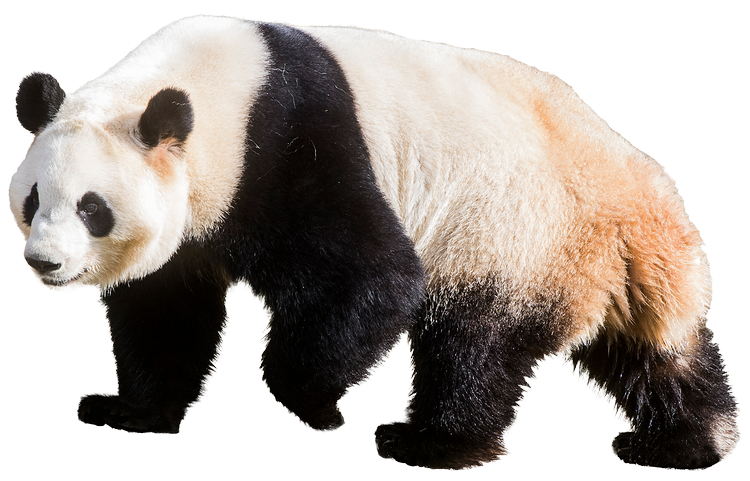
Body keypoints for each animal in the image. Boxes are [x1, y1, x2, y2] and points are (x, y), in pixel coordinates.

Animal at [10, 15, 738, 470]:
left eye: (93, 208)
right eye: (33, 200)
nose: (44, 262)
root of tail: (644, 205)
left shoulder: (288, 142)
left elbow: (373, 275)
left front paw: (314, 402)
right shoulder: (191, 222)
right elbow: (164, 312)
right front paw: (131, 409)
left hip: (516, 233)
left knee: (474, 344)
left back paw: (431, 441)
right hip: (609, 268)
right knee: (658, 355)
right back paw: (685, 443)